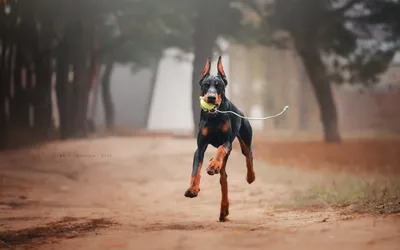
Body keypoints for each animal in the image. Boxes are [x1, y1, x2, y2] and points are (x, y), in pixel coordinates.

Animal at [185, 56, 256, 221]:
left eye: (219, 85)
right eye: (206, 85)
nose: (211, 98)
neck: (214, 117)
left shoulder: (227, 142)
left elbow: (221, 149)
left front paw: (212, 165)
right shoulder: (200, 147)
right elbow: (195, 170)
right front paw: (192, 189)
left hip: (245, 139)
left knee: (249, 157)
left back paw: (249, 176)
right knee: (224, 179)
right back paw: (224, 210)